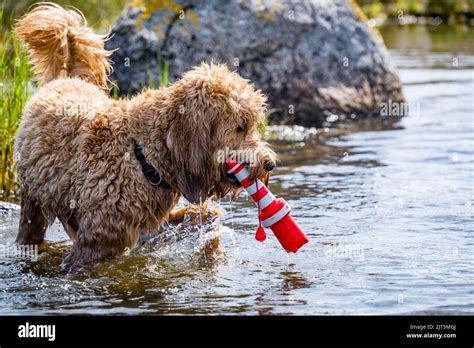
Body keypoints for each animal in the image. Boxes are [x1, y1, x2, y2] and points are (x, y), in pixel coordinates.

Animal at [14, 3, 276, 270]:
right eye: (240, 127)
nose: (270, 164)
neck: (142, 154)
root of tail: (67, 79)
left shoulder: (148, 224)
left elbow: (202, 215)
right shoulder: (96, 242)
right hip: (32, 201)